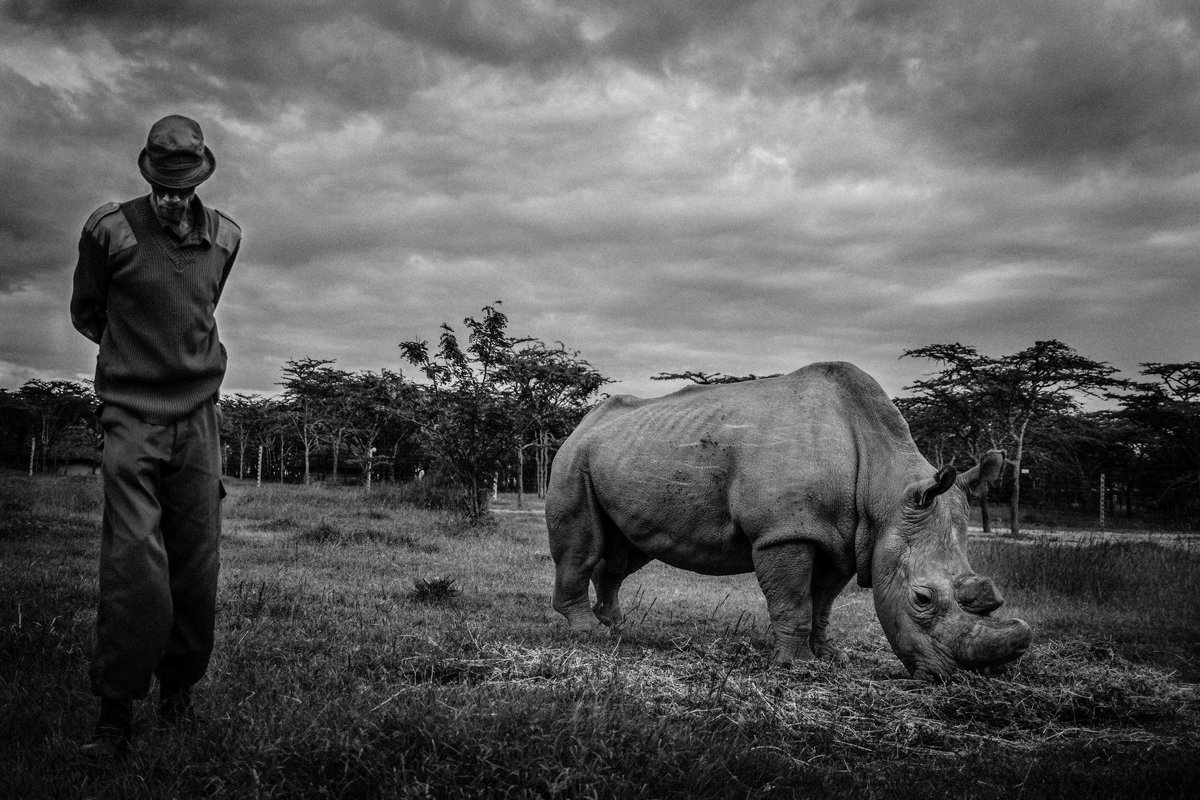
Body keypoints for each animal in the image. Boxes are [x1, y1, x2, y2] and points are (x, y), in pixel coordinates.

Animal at [546, 361, 1031, 681]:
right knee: (583, 546)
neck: (886, 492)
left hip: (626, 454)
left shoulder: (846, 538)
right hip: (572, 457)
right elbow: (794, 600)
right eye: (922, 598)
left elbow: (823, 601)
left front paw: (831, 656)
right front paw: (796, 666)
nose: (958, 678)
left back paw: (617, 627)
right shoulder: (785, 532)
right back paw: (589, 634)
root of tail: (584, 422)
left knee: (627, 553)